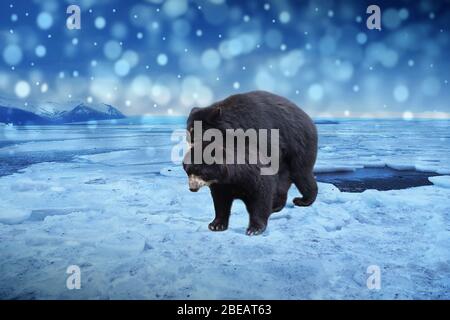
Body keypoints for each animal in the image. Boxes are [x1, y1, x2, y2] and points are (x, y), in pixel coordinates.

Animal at [182, 90, 316, 235]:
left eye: (196, 134)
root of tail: (308, 119)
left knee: (301, 172)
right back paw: (277, 205)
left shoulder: (261, 133)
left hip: (299, 142)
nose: (190, 153)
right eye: (188, 133)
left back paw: (304, 200)